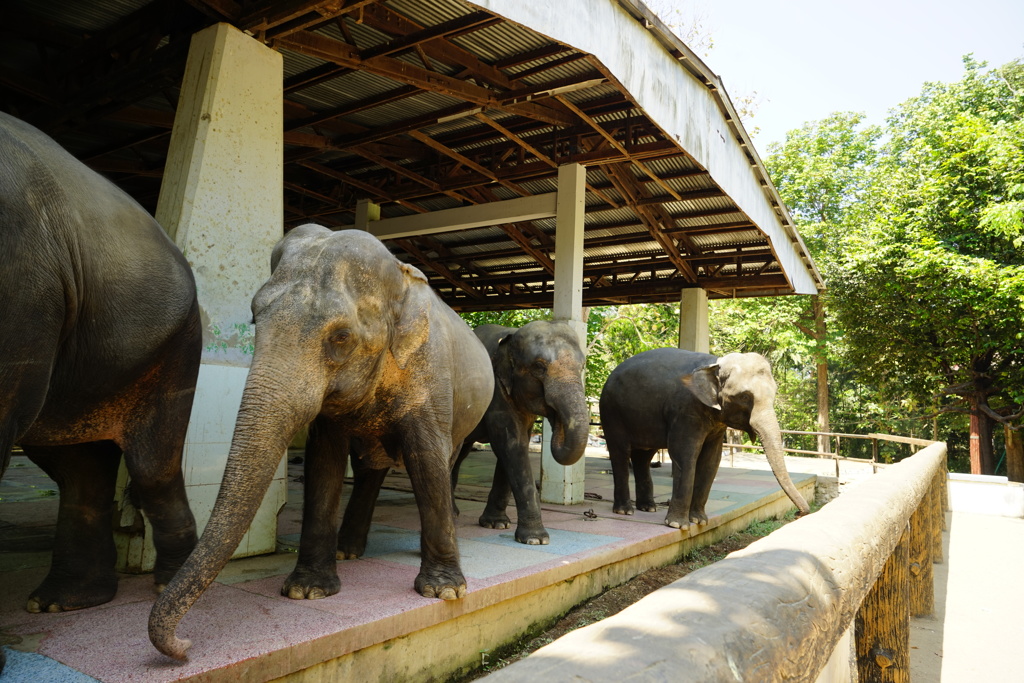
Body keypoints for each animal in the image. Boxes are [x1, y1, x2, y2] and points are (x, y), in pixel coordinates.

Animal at [0, 113, 199, 626]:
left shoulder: (21, 294)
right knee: (79, 466)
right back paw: (61, 602)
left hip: (176, 347)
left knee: (151, 466)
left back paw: (169, 583)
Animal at [146, 225, 493, 663]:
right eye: (254, 317)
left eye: (341, 336)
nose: (185, 646)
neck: (399, 278)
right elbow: (322, 461)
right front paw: (307, 591)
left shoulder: (430, 376)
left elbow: (427, 456)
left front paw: (444, 591)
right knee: (368, 470)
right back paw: (348, 550)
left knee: (443, 462)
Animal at [450, 321, 589, 544]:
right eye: (539, 367)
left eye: (582, 367)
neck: (511, 336)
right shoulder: (497, 392)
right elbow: (512, 445)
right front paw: (536, 540)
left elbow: (512, 448)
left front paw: (496, 524)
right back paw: (453, 514)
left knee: (460, 454)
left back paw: (454, 512)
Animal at [598, 350, 806, 532]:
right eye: (745, 396)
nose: (798, 513)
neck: (715, 363)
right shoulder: (686, 410)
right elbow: (684, 454)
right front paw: (678, 525)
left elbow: (711, 460)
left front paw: (700, 521)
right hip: (611, 412)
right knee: (620, 452)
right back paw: (625, 511)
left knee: (643, 456)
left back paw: (648, 508)